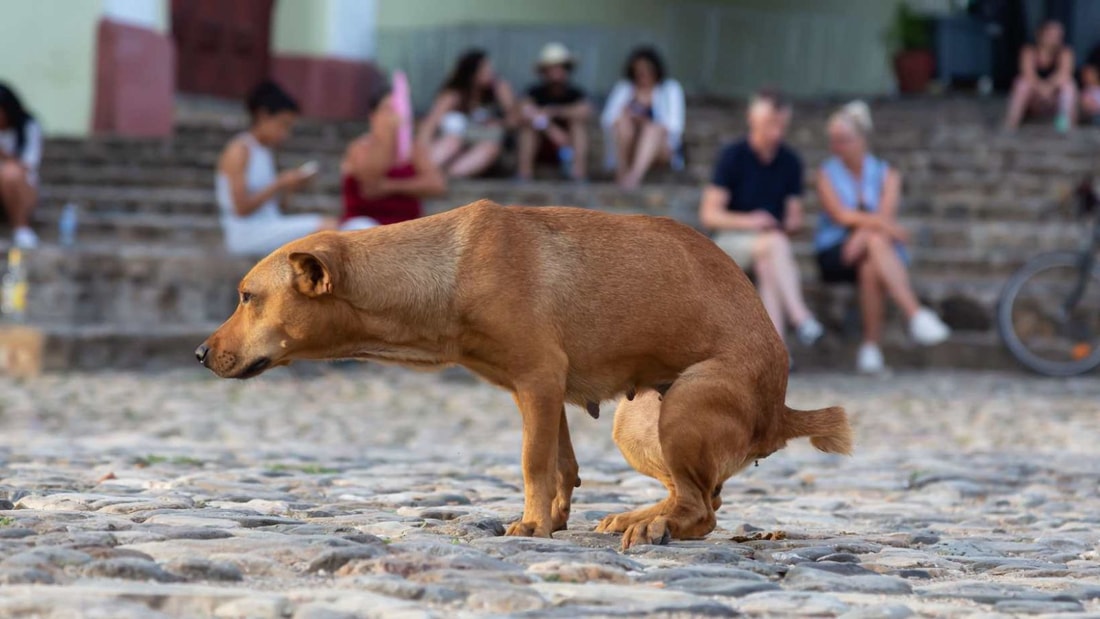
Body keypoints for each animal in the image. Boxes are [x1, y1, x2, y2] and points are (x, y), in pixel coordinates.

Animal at [195, 201, 849, 549]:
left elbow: (533, 462)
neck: (444, 271)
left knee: (703, 509)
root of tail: (780, 411)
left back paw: (653, 528)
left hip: (684, 404)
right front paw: (553, 519)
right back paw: (641, 516)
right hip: (639, 419)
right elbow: (561, 465)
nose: (199, 354)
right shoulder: (539, 394)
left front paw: (532, 524)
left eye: (248, 297)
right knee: (698, 497)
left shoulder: (538, 381)